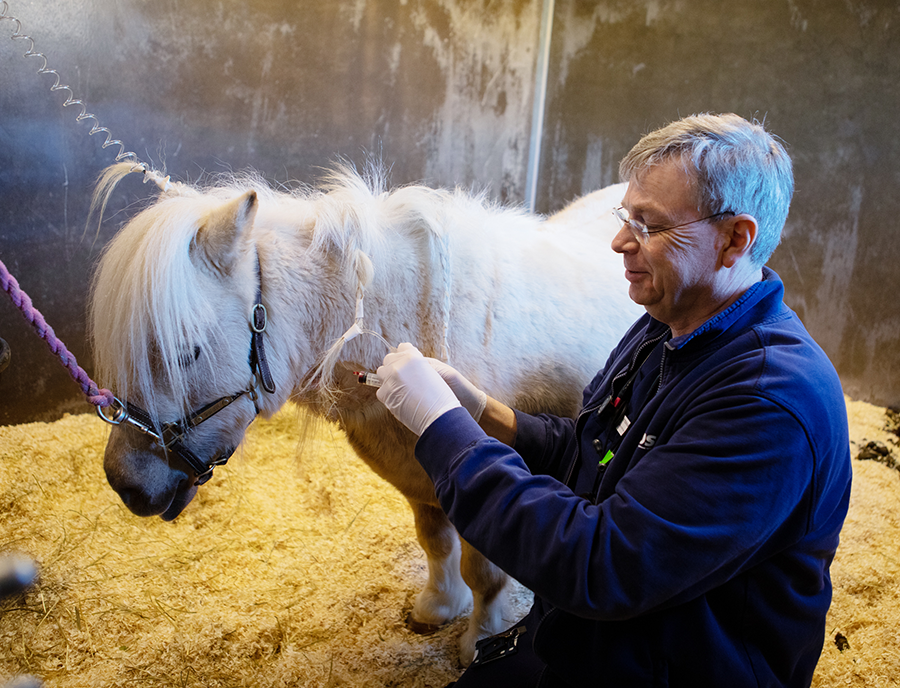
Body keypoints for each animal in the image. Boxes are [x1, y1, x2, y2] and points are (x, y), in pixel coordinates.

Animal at [89, 164, 640, 664]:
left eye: (186, 352)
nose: (125, 484)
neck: (399, 324)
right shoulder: (417, 474)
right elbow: (435, 542)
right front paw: (438, 607)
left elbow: (485, 574)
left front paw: (480, 639)